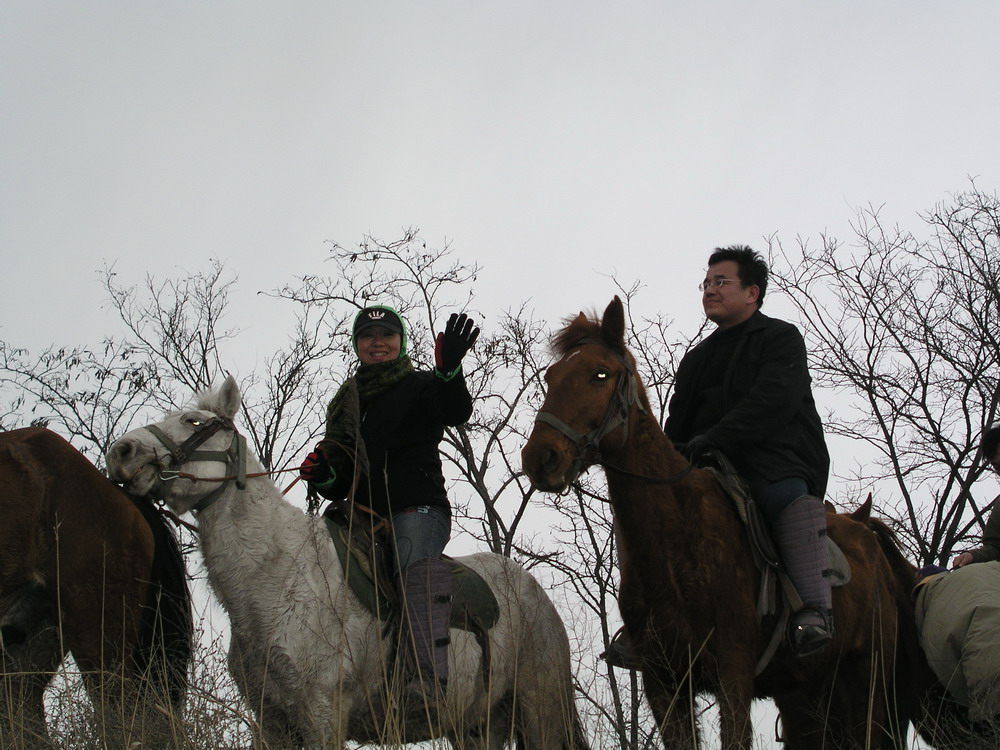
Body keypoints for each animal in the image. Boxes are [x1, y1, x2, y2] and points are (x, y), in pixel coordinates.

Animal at [103, 378, 584, 750]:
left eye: (193, 422)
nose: (121, 452)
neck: (276, 575)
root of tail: (534, 592)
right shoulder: (273, 722)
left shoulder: (322, 712)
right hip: (478, 726)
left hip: (539, 708)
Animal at [520, 300, 924, 750]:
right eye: (551, 376)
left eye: (600, 373)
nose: (540, 458)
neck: (674, 540)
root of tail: (868, 537)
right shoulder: (664, 683)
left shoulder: (734, 674)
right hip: (808, 694)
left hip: (868, 684)